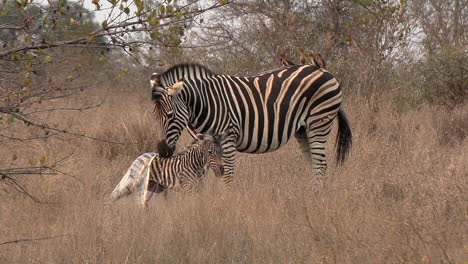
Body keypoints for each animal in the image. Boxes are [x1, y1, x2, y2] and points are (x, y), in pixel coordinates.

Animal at [152, 63, 352, 185]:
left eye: (170, 115)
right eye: (155, 116)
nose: (162, 152)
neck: (205, 103)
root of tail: (324, 71)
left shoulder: (228, 137)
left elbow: (227, 173)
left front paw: (227, 201)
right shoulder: (205, 144)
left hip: (318, 122)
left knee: (321, 165)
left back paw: (317, 196)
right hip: (303, 130)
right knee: (313, 163)